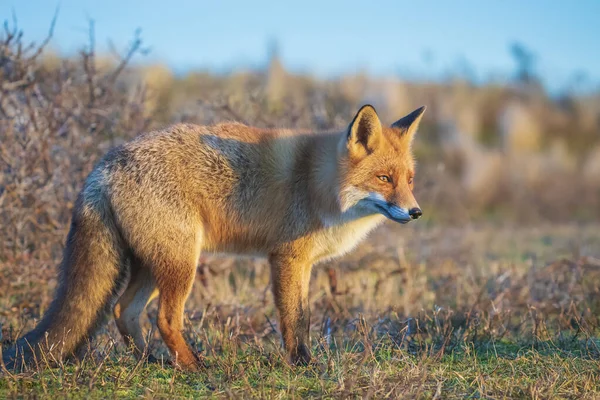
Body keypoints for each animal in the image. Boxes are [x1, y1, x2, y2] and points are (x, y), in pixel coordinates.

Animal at [4, 104, 426, 370]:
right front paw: (304, 366)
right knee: (165, 319)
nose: (416, 212)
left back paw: (152, 363)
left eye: (408, 180)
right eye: (383, 178)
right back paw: (194, 367)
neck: (318, 182)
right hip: (181, 264)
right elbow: (296, 320)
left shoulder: (303, 264)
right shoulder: (287, 259)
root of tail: (104, 165)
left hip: (153, 264)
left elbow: (302, 318)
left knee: (124, 310)